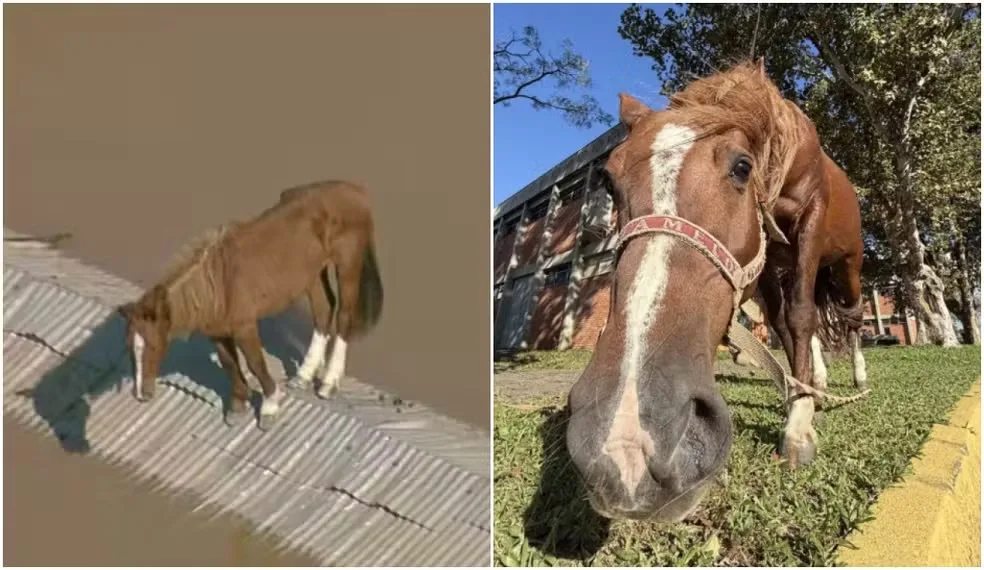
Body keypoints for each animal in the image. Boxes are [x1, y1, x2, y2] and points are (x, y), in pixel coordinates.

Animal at [118, 180, 383, 431]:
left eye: (153, 346)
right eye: (130, 347)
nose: (140, 394)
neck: (218, 285)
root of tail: (355, 189)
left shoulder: (245, 327)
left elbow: (256, 364)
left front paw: (269, 407)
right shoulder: (217, 332)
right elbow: (229, 364)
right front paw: (237, 407)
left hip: (347, 265)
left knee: (344, 316)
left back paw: (328, 384)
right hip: (312, 274)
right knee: (323, 311)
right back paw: (304, 376)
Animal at [565, 60, 868, 522]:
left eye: (742, 167)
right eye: (609, 180)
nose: (626, 442)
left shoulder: (811, 216)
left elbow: (800, 314)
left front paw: (798, 426)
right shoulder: (763, 260)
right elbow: (784, 322)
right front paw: (798, 397)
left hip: (845, 264)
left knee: (851, 314)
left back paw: (857, 376)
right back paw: (816, 378)